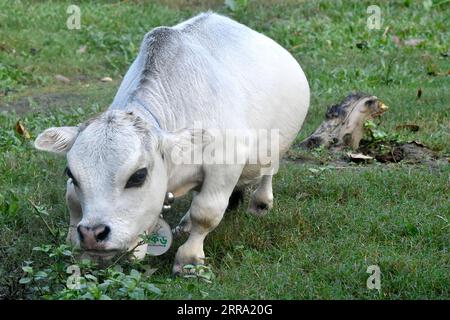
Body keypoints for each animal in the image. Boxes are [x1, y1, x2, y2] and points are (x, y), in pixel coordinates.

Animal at [35, 11, 310, 272]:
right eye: (71, 173)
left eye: (138, 176)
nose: (93, 234)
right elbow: (72, 200)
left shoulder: (226, 163)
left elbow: (206, 212)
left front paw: (189, 259)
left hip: (276, 145)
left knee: (269, 171)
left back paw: (261, 202)